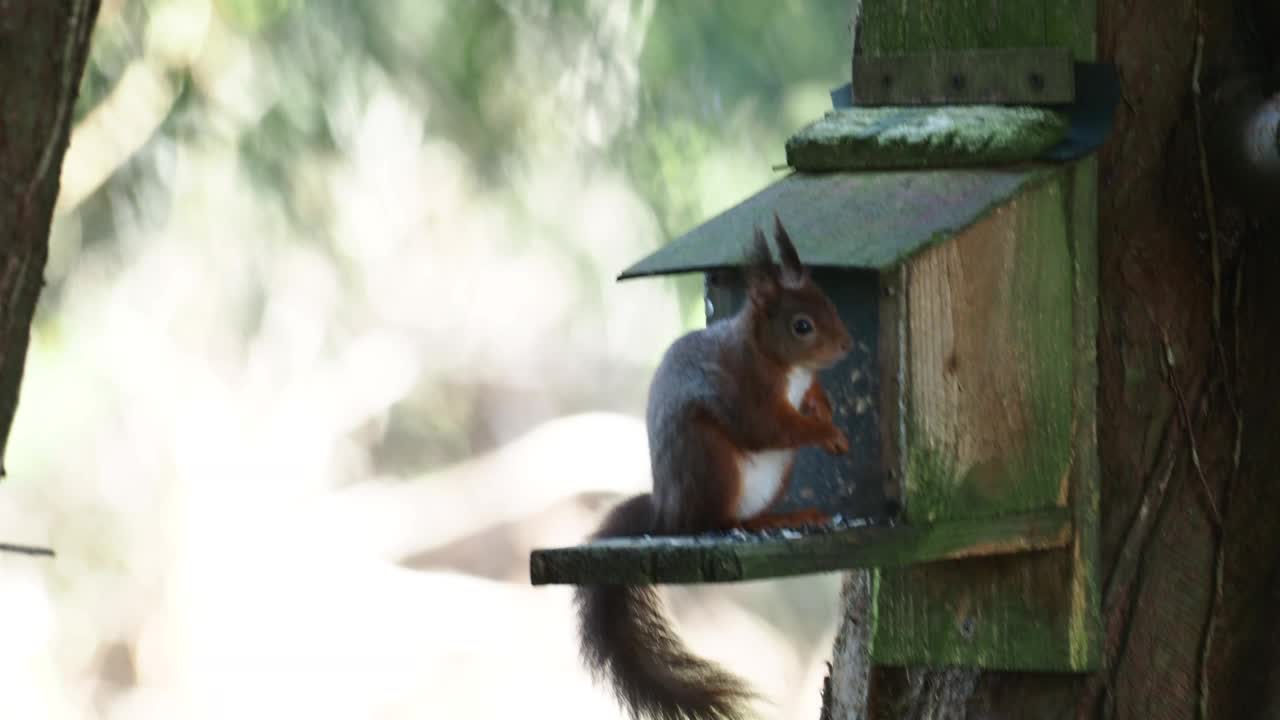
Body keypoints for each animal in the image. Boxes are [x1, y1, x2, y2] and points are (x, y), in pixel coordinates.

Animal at [578, 212, 849, 717]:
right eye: (802, 325)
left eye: (829, 302)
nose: (845, 345)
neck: (775, 360)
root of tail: (665, 513)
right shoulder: (745, 392)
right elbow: (770, 429)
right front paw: (826, 432)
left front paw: (823, 405)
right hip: (712, 460)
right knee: (711, 521)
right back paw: (738, 526)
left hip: (774, 477)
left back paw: (782, 518)